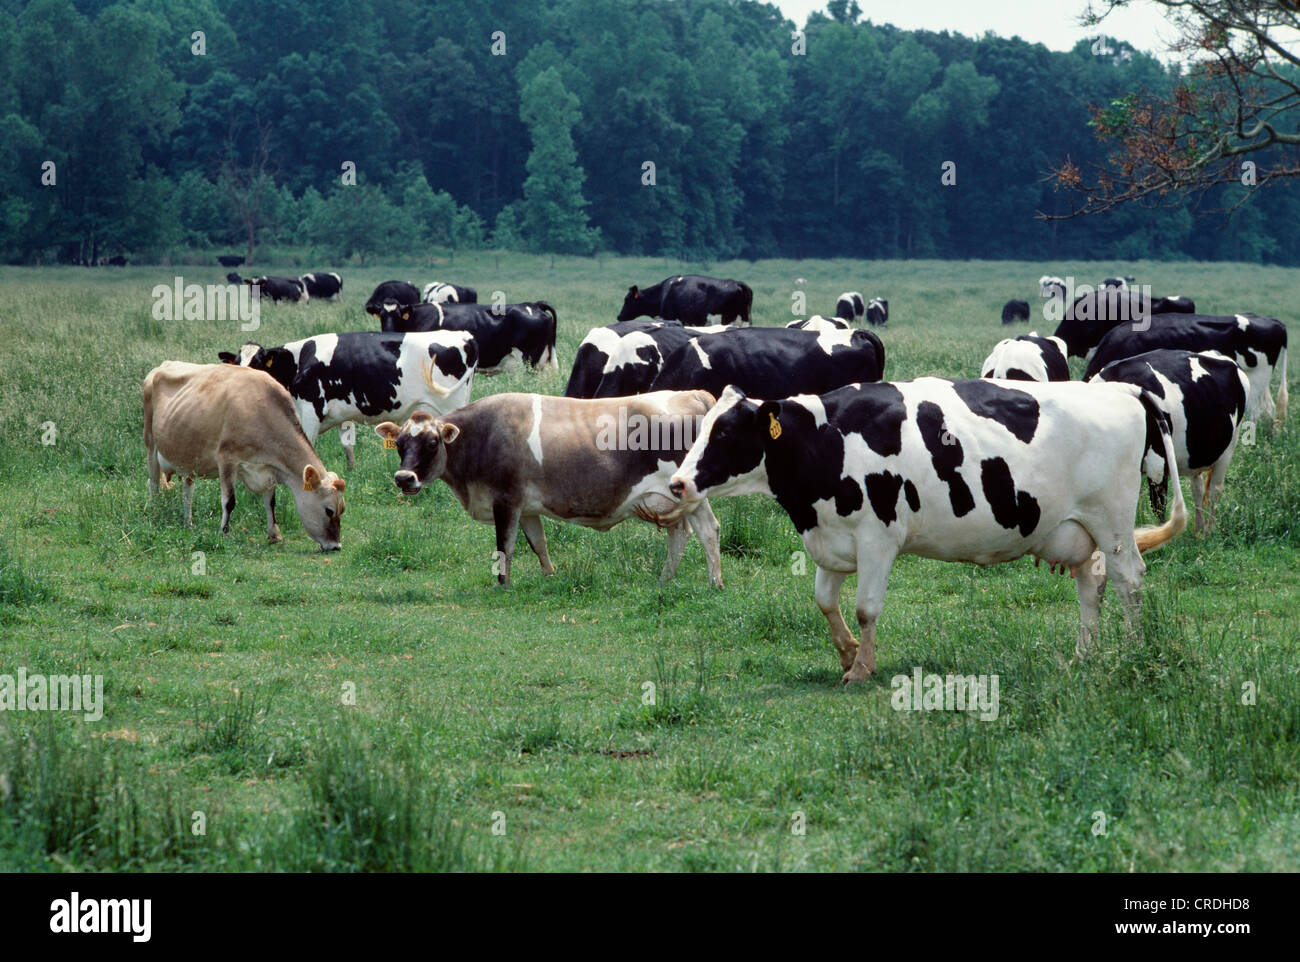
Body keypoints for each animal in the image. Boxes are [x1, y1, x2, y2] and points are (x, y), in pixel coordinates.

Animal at [143, 361, 346, 550]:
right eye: (329, 511)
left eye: (342, 510)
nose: (336, 546)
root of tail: (162, 365)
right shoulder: (227, 459)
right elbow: (229, 501)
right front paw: (224, 533)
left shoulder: (268, 468)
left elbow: (270, 502)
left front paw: (274, 535)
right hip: (151, 442)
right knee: (153, 483)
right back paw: (154, 513)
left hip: (188, 454)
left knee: (187, 490)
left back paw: (188, 524)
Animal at [217, 331, 478, 469]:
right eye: (237, 362)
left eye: (258, 363)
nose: (241, 380)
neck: (299, 362)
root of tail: (462, 335)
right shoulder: (343, 414)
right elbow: (348, 445)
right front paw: (352, 470)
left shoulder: (310, 409)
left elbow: (307, 444)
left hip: (452, 404)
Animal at [374, 392, 724, 588]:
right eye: (400, 443)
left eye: (432, 443)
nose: (404, 478)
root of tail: (691, 394)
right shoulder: (527, 507)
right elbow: (538, 544)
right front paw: (550, 578)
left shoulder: (505, 500)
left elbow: (505, 547)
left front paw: (502, 585)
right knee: (680, 534)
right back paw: (665, 581)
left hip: (689, 494)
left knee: (708, 530)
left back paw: (714, 584)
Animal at [658, 378, 1186, 684]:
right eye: (700, 427)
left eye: (726, 433)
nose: (678, 482)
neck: (827, 439)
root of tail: (1121, 389)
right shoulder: (833, 539)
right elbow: (825, 601)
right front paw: (848, 654)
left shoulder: (877, 538)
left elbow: (866, 608)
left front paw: (861, 669)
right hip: (1078, 529)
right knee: (1091, 583)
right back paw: (1083, 655)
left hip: (1111, 519)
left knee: (1128, 578)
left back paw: (1132, 651)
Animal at [1090, 349, 1249, 534]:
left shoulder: (1157, 463)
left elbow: (1158, 506)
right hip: (1196, 454)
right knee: (1198, 488)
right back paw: (1198, 531)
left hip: (1229, 446)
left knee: (1215, 490)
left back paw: (1209, 530)